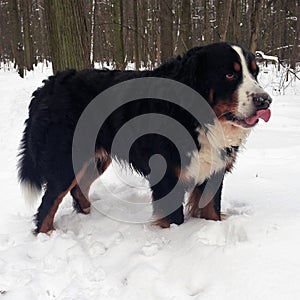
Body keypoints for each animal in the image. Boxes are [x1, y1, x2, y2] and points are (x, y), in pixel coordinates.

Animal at [18, 42, 272, 234]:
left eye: (255, 72)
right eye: (229, 74)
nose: (265, 101)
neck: (197, 116)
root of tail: (47, 86)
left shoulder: (213, 170)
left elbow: (212, 211)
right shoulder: (168, 176)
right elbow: (174, 219)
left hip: (94, 158)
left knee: (78, 189)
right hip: (66, 159)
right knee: (48, 204)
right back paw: (46, 235)